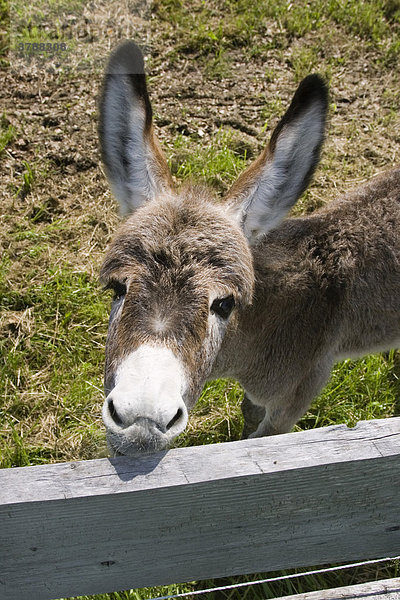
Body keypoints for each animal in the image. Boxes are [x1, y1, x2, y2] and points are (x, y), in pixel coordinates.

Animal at [97, 41, 400, 454]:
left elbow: (262, 439)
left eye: (224, 304)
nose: (141, 420)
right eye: (117, 288)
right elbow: (248, 414)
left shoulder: (296, 395)